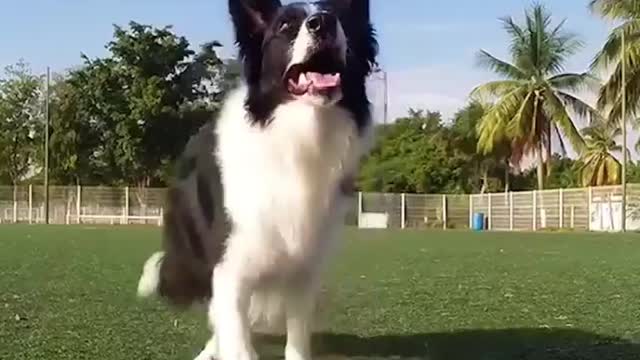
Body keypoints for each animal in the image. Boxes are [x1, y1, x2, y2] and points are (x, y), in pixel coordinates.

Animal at [134, 1, 376, 358]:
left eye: (341, 19)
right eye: (285, 26)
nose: (323, 23)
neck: (297, 137)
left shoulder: (303, 269)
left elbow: (296, 341)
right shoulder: (231, 267)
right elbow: (237, 338)